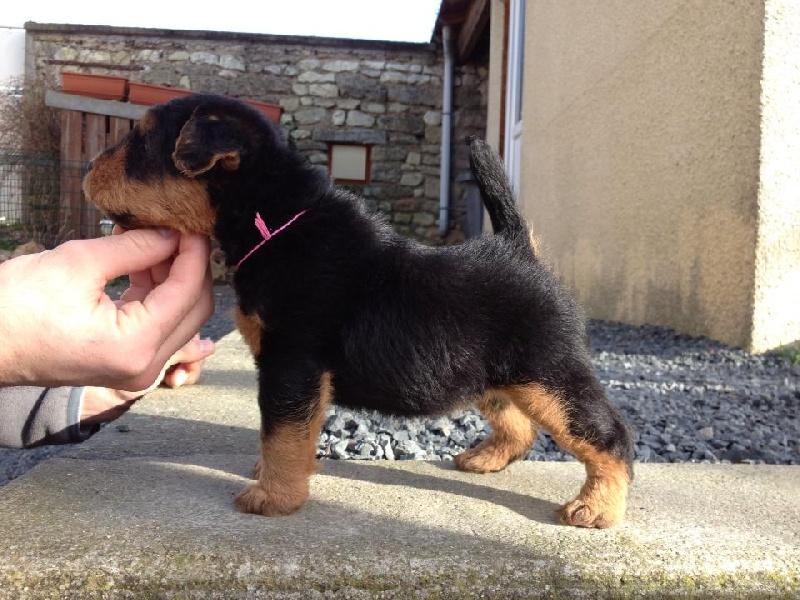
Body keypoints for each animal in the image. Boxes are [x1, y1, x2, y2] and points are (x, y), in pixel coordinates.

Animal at [84, 93, 635, 528]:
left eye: (140, 141)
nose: (88, 168)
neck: (277, 222)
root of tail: (520, 249)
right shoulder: (294, 370)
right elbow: (295, 431)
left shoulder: (291, 360)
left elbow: (280, 431)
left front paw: (273, 496)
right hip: (492, 374)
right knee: (518, 425)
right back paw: (486, 458)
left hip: (549, 375)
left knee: (608, 436)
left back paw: (597, 508)